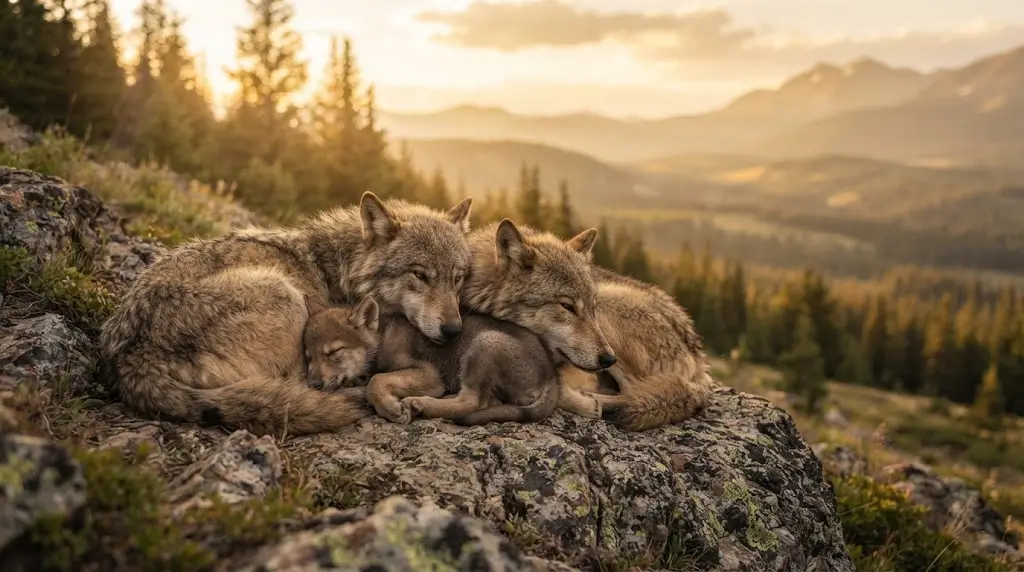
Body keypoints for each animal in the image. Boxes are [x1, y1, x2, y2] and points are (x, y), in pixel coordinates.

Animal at [98, 192, 473, 437]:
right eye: (420, 275)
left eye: (457, 278)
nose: (454, 330)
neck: (340, 270)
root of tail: (133, 354)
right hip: (285, 294)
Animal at [302, 296, 601, 426]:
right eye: (308, 357)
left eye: (333, 352)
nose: (312, 384)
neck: (383, 335)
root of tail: (551, 375)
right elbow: (369, 381)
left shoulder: (429, 375)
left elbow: (377, 380)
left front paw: (390, 409)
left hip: (483, 345)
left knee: (473, 401)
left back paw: (422, 404)